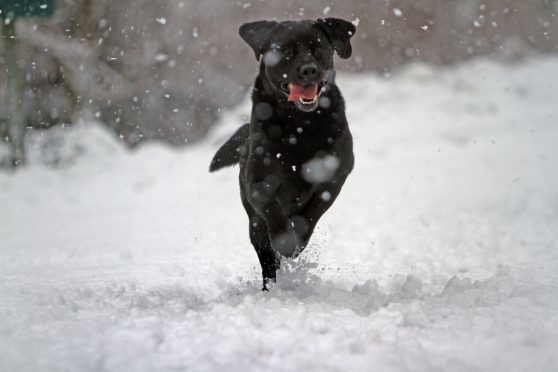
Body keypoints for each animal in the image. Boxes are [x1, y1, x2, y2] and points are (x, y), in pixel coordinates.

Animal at [210, 18, 358, 290]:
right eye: (285, 52)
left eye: (317, 48)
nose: (309, 70)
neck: (300, 126)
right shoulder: (258, 182)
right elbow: (271, 207)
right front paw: (286, 241)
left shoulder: (335, 175)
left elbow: (313, 212)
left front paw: (296, 239)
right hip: (254, 226)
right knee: (268, 260)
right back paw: (270, 289)